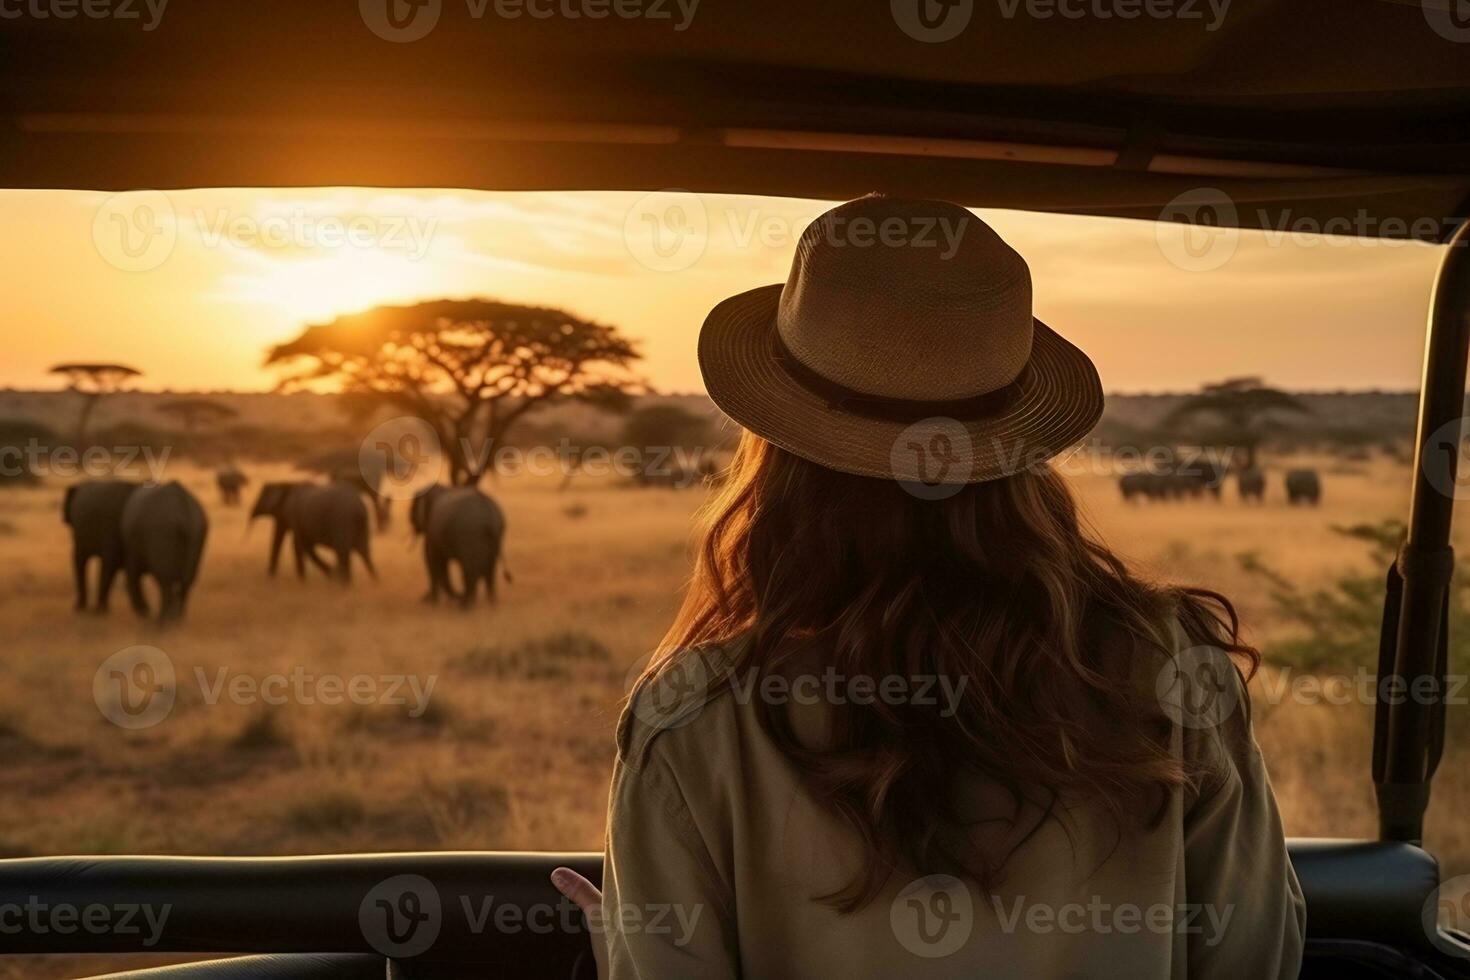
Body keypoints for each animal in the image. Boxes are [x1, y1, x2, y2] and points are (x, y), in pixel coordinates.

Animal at [119, 481, 208, 620]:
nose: (143, 613)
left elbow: (134, 573)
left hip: (163, 531)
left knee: (165, 581)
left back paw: (162, 622)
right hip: (197, 531)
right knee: (186, 581)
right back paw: (177, 620)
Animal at [248, 481, 376, 581]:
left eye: (261, 498)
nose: (270, 577)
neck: (286, 484)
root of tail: (360, 509)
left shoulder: (294, 514)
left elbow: (299, 545)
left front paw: (304, 582)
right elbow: (303, 544)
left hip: (343, 522)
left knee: (344, 554)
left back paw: (344, 587)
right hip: (360, 526)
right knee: (365, 554)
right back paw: (374, 583)